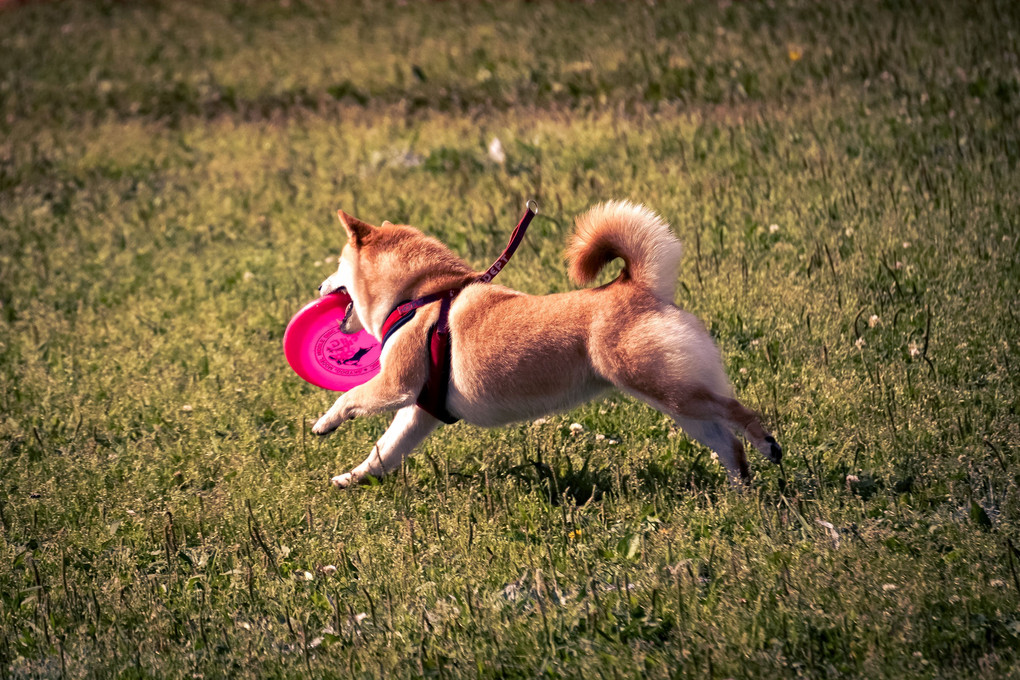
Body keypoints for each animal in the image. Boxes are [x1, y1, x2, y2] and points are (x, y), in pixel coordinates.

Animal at [314, 201, 783, 489]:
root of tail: (640, 286)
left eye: (337, 264)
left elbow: (351, 396)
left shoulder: (396, 385)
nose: (318, 286)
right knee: (727, 443)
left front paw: (324, 422)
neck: (422, 294)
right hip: (677, 402)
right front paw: (352, 479)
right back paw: (740, 494)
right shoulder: (420, 411)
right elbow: (384, 452)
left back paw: (767, 445)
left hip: (663, 385)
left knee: (738, 413)